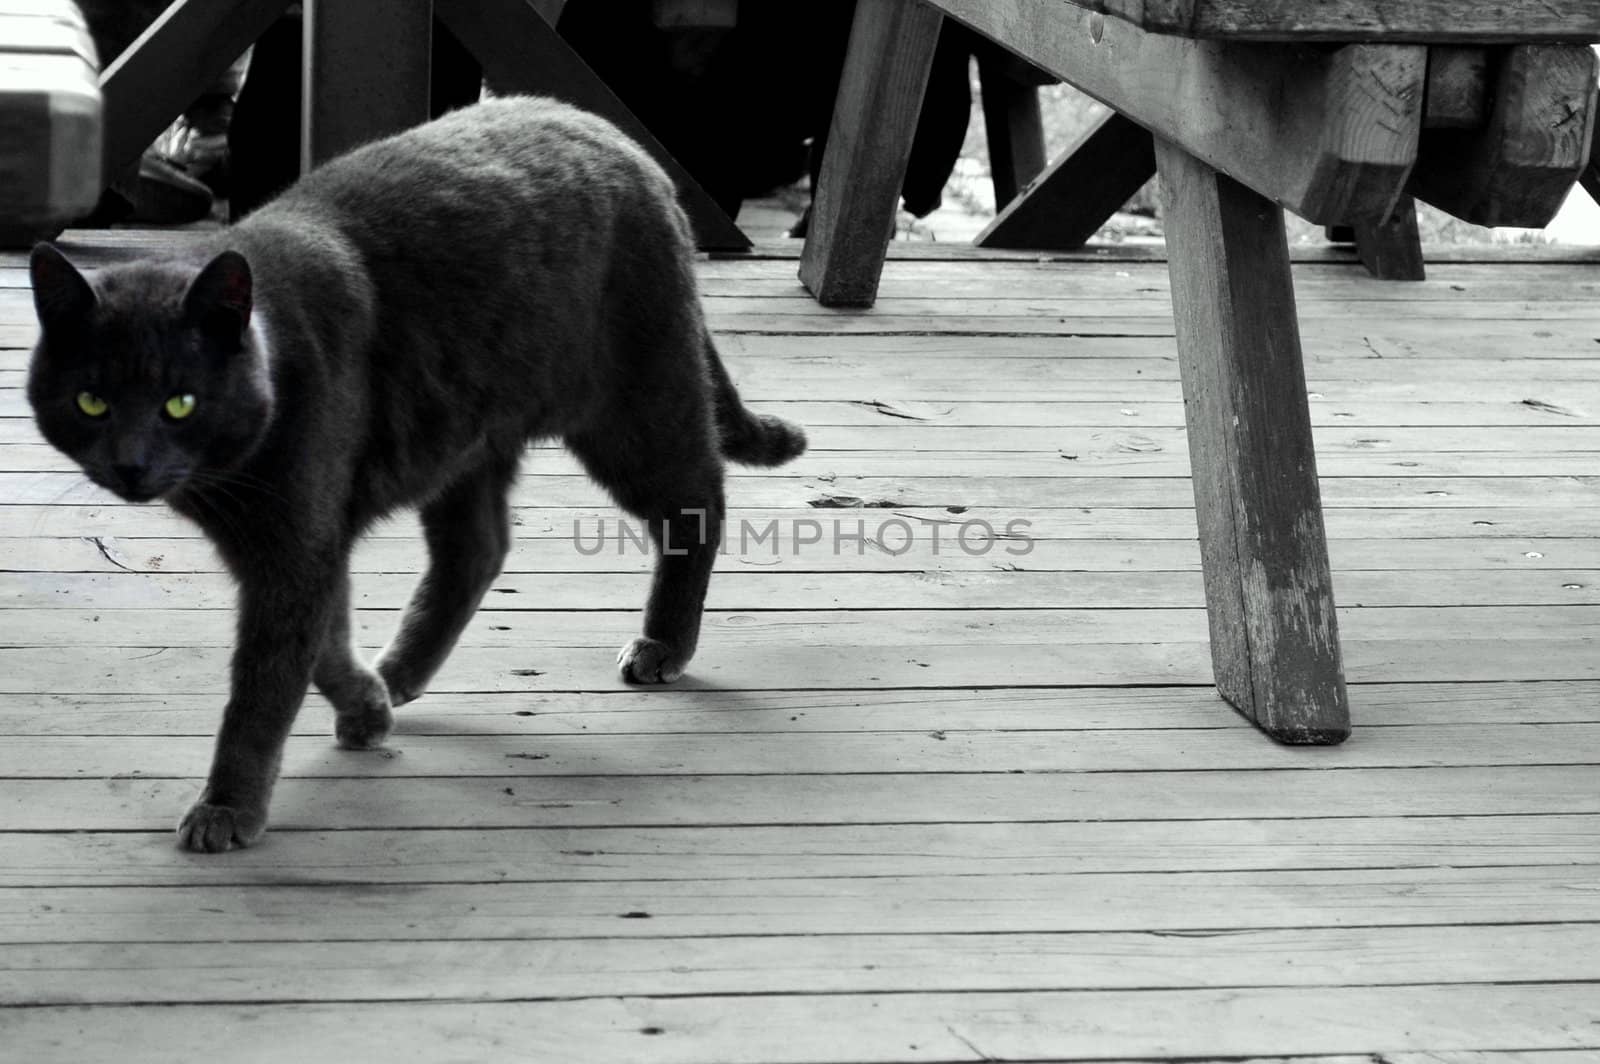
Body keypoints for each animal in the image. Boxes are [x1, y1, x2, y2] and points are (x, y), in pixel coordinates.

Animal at [34, 95, 812, 851]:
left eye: (180, 402)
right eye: (92, 401)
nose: (132, 463)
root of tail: (619, 137)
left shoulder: (296, 541)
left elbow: (264, 684)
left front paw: (226, 807)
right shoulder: (313, 535)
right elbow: (324, 642)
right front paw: (367, 704)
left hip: (633, 403)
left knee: (697, 499)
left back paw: (663, 646)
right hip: (465, 438)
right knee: (480, 548)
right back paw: (402, 671)